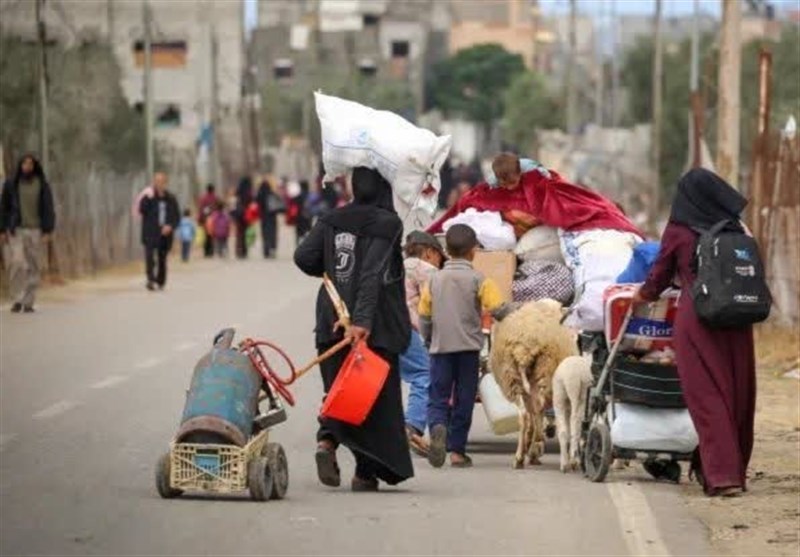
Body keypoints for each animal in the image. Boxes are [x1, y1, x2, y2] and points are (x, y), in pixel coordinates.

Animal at [488, 298, 576, 466]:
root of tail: (524, 347)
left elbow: (531, 416)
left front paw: (530, 445)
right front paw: (534, 445)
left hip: (512, 378)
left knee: (525, 415)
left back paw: (520, 456)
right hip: (543, 373)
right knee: (537, 410)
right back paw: (533, 447)